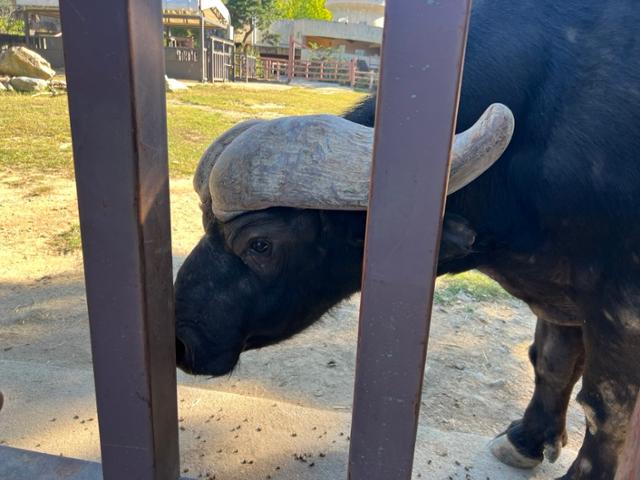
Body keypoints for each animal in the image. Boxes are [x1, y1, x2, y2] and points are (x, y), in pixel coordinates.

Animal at [175, 1, 640, 478]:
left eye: (260, 244)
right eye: (205, 223)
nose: (181, 340)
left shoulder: (619, 308)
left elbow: (605, 406)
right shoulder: (558, 296)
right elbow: (551, 361)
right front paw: (527, 439)